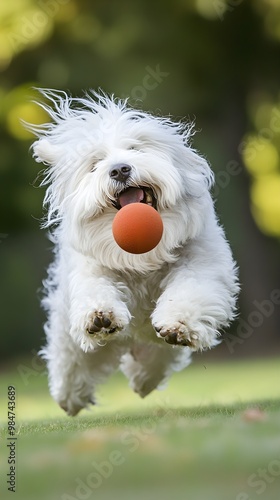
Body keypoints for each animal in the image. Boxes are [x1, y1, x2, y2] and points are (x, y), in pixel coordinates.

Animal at [29, 89, 238, 414]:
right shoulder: (91, 272)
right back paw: (70, 397)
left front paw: (178, 324)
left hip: (155, 345)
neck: (143, 257)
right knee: (71, 362)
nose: (119, 169)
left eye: (135, 149)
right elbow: (97, 291)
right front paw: (100, 316)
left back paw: (144, 377)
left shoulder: (202, 264)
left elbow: (190, 292)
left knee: (156, 357)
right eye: (96, 163)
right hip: (69, 334)